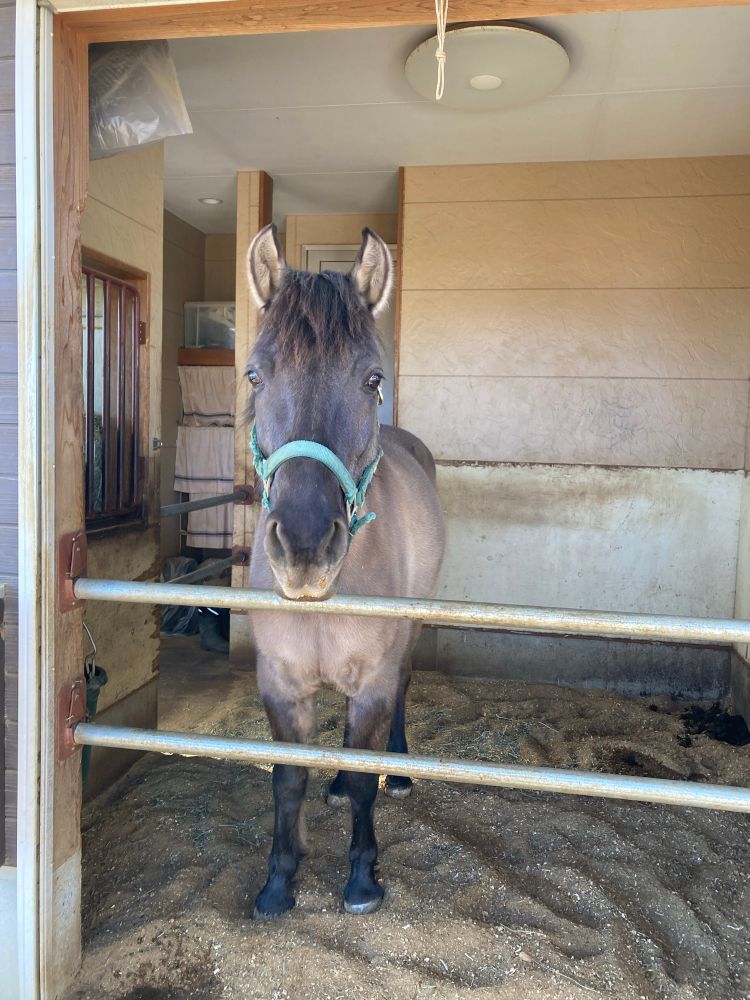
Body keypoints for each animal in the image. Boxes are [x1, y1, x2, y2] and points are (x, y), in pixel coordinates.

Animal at [245, 224, 445, 918]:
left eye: (371, 379)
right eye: (255, 374)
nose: (305, 546)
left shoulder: (375, 682)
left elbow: (364, 782)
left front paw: (362, 877)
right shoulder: (281, 684)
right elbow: (288, 780)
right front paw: (279, 881)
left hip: (411, 638)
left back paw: (403, 771)